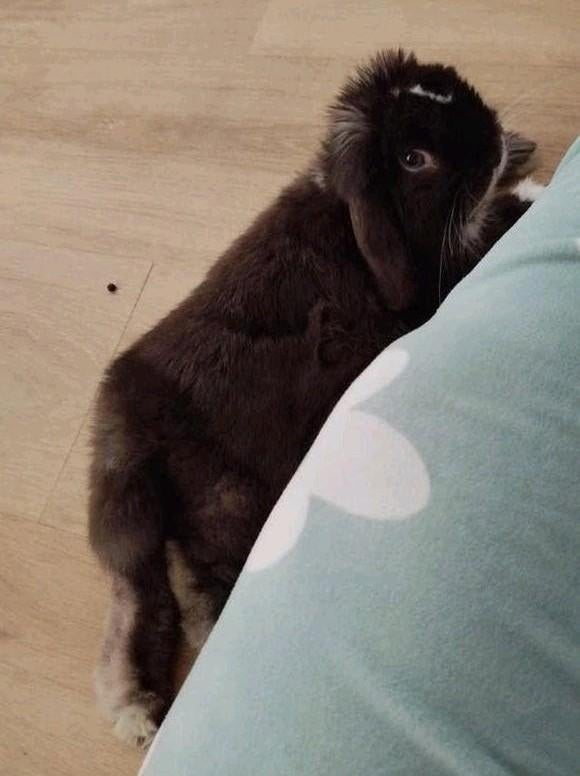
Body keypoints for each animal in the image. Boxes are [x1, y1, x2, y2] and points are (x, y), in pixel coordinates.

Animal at [88, 49, 541, 747]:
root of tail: (129, 424)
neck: (352, 223)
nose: (491, 139)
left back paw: (136, 708)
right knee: (187, 603)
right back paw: (142, 710)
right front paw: (530, 194)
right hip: (229, 505)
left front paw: (519, 157)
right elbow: (487, 231)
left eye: (448, 88)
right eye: (414, 159)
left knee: (144, 604)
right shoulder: (441, 278)